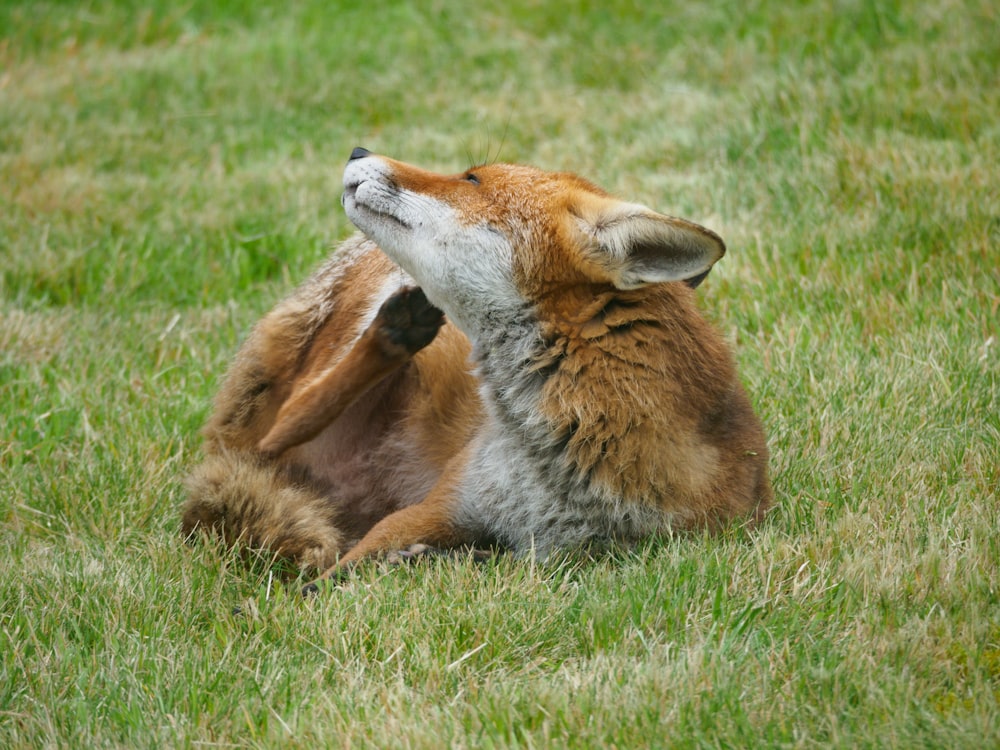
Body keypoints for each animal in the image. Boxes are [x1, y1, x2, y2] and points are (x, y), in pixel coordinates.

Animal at [182, 148, 772, 592]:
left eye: (470, 179)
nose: (357, 150)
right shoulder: (435, 506)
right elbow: (330, 580)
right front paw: (292, 602)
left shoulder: (576, 557)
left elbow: (496, 559)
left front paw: (434, 562)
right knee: (272, 433)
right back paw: (394, 333)